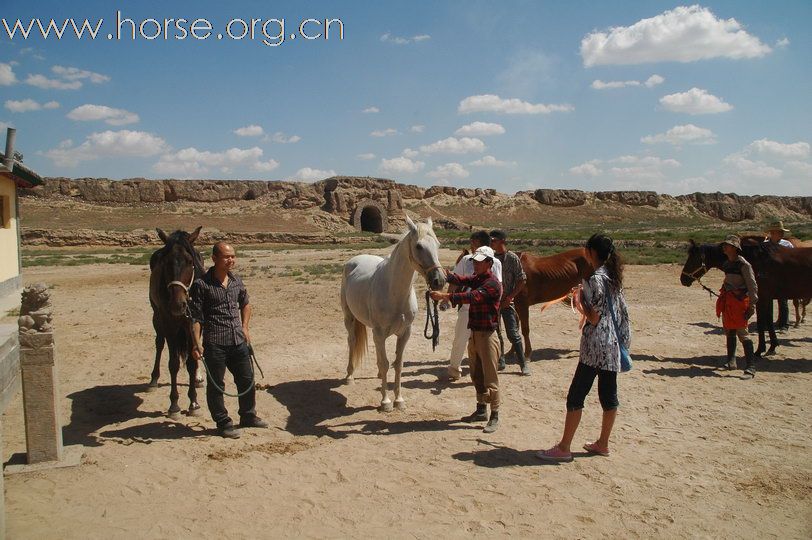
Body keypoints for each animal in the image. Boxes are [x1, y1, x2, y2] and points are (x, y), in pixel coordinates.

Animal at [150, 225, 206, 418]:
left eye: (190, 261)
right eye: (166, 262)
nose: (178, 304)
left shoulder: (194, 322)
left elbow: (192, 361)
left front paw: (194, 403)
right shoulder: (168, 324)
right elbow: (173, 364)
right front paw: (174, 405)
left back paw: (197, 378)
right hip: (156, 317)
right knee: (159, 343)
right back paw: (153, 379)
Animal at [340, 215, 448, 410]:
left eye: (438, 244)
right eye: (418, 246)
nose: (439, 280)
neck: (394, 292)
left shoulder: (405, 333)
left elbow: (398, 365)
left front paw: (399, 400)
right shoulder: (380, 332)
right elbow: (385, 364)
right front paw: (386, 402)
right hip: (349, 318)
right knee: (351, 341)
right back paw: (350, 376)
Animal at [680, 238, 812, 356]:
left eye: (693, 259)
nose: (683, 279)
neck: (758, 261)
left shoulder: (761, 298)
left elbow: (761, 323)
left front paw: (759, 350)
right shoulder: (768, 298)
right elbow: (769, 321)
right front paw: (772, 347)